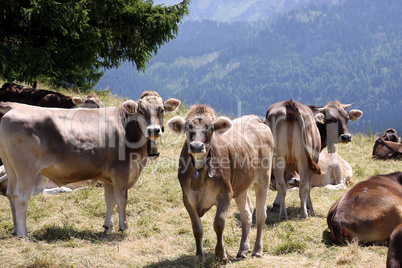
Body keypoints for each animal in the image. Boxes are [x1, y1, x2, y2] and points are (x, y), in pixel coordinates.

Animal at [168, 105, 274, 262]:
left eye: (211, 128)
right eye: (188, 127)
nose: (196, 146)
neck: (199, 168)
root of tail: (255, 118)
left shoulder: (225, 193)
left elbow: (219, 223)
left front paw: (221, 254)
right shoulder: (187, 197)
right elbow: (197, 229)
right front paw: (199, 256)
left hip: (263, 177)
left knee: (261, 214)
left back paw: (257, 250)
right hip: (241, 184)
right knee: (247, 213)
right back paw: (243, 249)